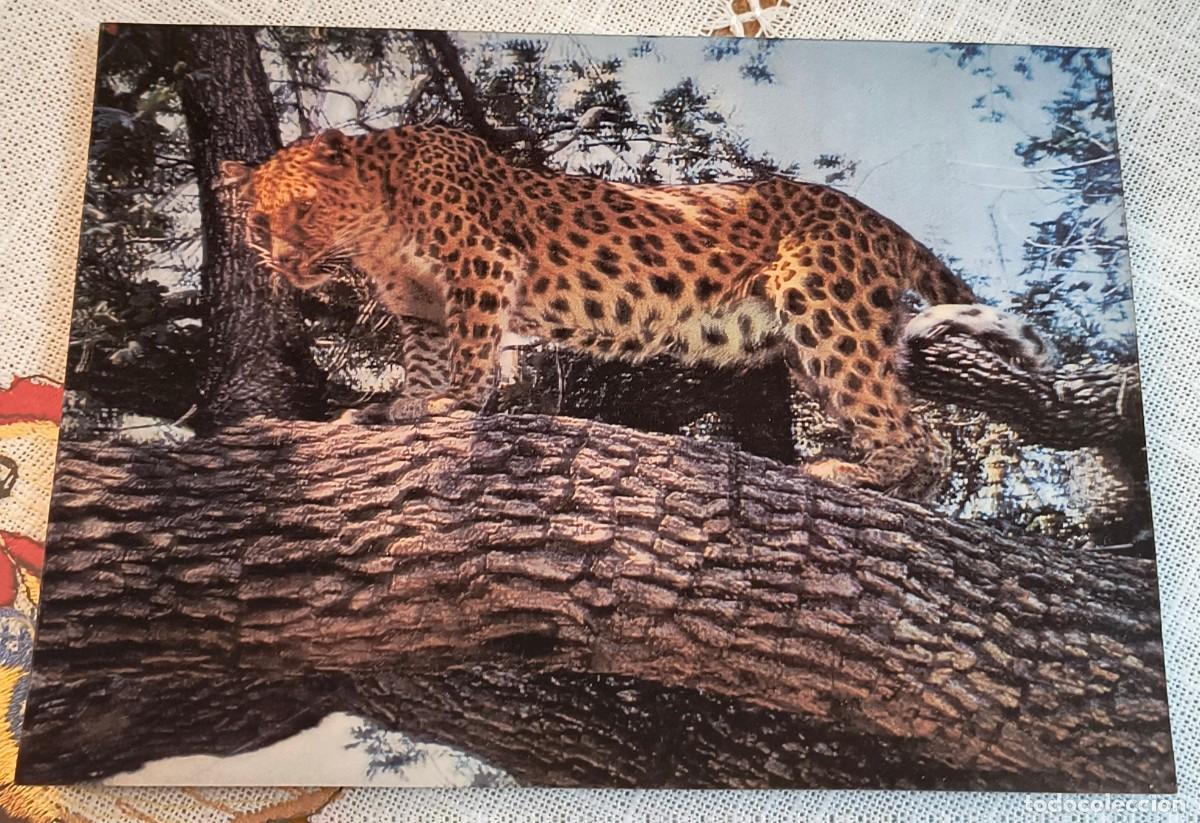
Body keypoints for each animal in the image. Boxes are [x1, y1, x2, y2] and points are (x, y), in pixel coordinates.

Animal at [221, 125, 1045, 496]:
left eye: (304, 210)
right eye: (259, 223)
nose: (282, 261)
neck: (377, 227)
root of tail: (868, 215)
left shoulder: (483, 264)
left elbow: (473, 344)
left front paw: (454, 400)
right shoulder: (422, 306)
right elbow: (422, 357)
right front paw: (404, 402)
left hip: (823, 307)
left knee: (917, 434)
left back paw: (859, 474)